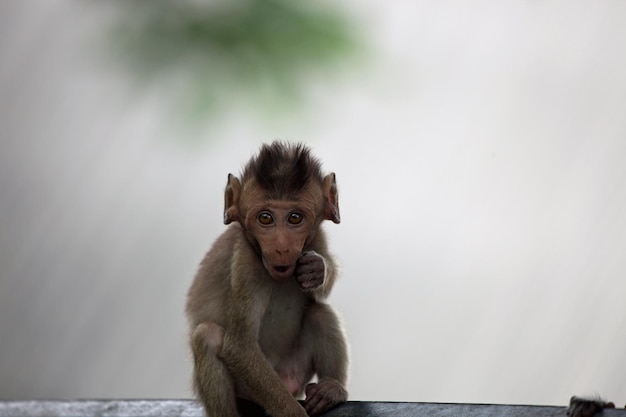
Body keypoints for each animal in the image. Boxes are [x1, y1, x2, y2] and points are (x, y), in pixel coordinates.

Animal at [185, 141, 348, 416]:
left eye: (295, 217)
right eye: (265, 218)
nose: (281, 247)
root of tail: (286, 381)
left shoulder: (317, 237)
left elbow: (322, 285)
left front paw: (317, 270)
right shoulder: (246, 263)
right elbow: (239, 346)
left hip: (295, 369)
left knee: (320, 313)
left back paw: (332, 390)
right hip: (254, 387)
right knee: (206, 336)